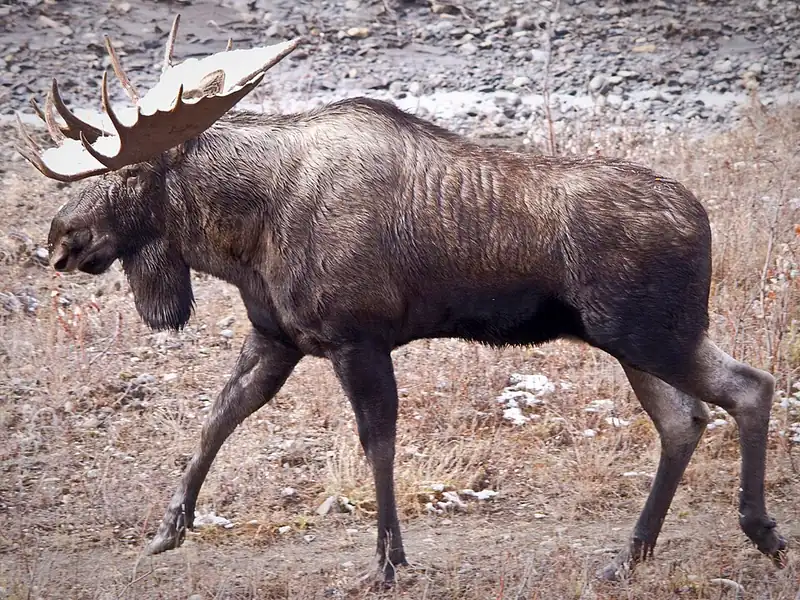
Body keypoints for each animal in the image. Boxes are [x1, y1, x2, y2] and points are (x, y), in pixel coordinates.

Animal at [14, 14, 788, 585]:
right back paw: (630, 557)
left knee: (749, 387)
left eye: (126, 172)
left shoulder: (356, 336)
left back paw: (760, 532)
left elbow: (376, 443)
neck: (241, 236)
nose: (60, 240)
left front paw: (388, 562)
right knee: (684, 421)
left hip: (653, 331)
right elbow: (217, 418)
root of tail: (704, 221)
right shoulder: (277, 337)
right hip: (631, 341)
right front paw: (165, 530)